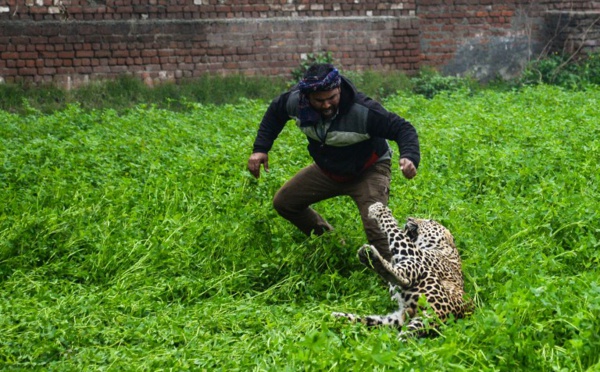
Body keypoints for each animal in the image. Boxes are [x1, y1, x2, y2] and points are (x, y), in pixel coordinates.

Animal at [332, 202, 468, 338]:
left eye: (430, 221)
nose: (409, 218)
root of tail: (440, 316)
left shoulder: (415, 253)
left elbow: (394, 229)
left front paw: (379, 209)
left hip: (423, 275)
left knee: (403, 278)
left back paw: (371, 258)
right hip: (393, 320)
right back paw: (337, 316)